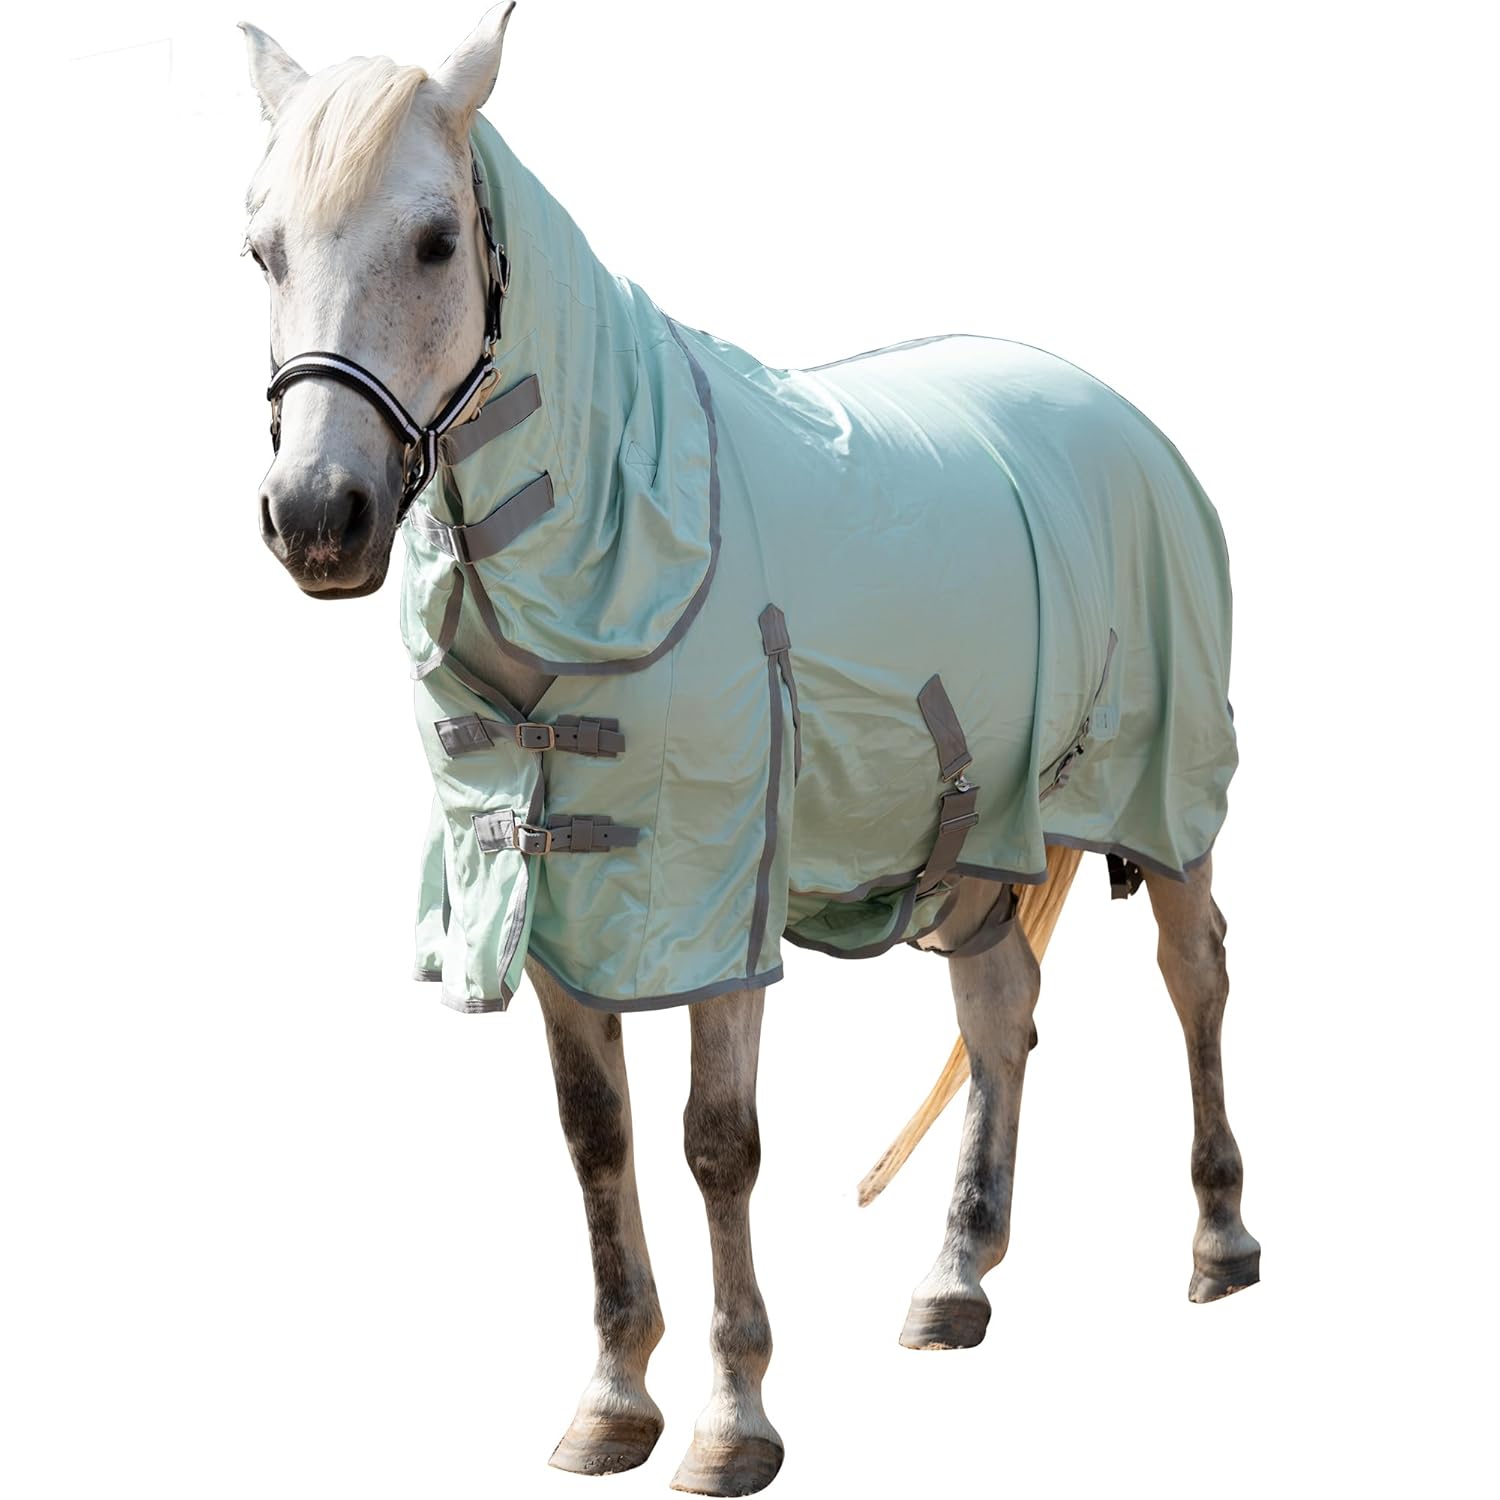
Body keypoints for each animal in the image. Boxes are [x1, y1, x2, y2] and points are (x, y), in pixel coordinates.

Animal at [241, 7, 1259, 1494]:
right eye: (261, 248)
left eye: (434, 240)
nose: (320, 516)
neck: (623, 534)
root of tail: (1111, 408)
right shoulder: (557, 899)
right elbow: (595, 1138)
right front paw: (613, 1398)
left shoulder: (714, 893)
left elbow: (716, 1144)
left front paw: (732, 1421)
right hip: (979, 825)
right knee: (997, 1006)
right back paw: (954, 1277)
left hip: (1165, 790)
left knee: (1194, 979)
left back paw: (1218, 1241)